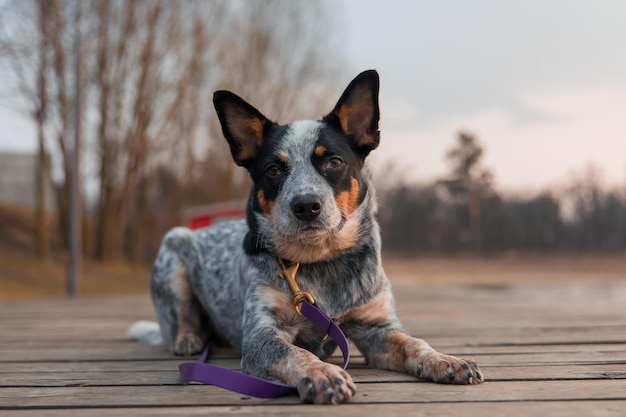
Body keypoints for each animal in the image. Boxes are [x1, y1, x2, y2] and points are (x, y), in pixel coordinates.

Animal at [130, 70, 482, 404]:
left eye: (333, 161)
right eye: (273, 169)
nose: (306, 205)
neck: (320, 263)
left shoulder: (377, 327)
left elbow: (413, 342)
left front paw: (444, 359)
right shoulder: (261, 334)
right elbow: (295, 352)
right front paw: (322, 373)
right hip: (174, 248)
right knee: (183, 318)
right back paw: (188, 339)